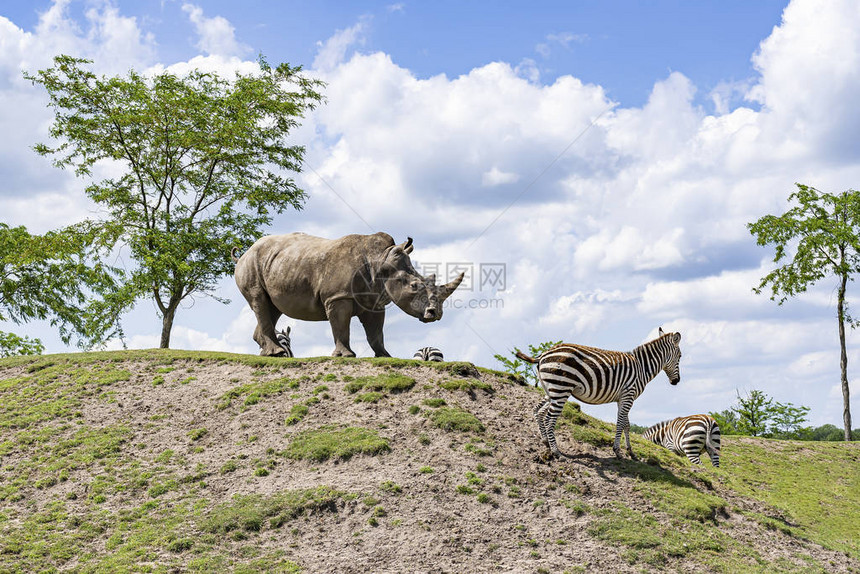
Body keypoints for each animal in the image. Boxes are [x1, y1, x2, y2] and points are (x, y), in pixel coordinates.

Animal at [512, 330, 680, 462]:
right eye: (679, 357)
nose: (676, 381)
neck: (642, 367)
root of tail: (543, 354)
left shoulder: (624, 398)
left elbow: (626, 424)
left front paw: (631, 452)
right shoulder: (628, 395)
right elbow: (620, 423)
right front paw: (617, 451)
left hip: (551, 390)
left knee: (537, 410)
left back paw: (546, 441)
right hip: (561, 389)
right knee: (549, 418)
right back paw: (557, 452)